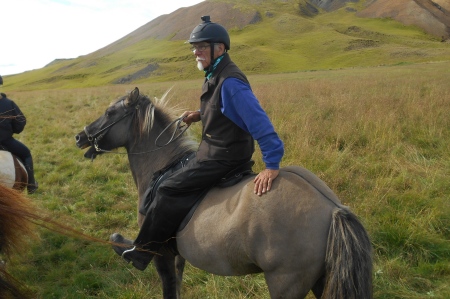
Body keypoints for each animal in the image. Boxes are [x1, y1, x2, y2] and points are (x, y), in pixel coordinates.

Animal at [76, 88, 372, 298]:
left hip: (285, 284)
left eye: (109, 112)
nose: (80, 136)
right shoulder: (178, 256)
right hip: (322, 280)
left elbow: (168, 288)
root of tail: (332, 208)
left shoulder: (162, 255)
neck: (162, 167)